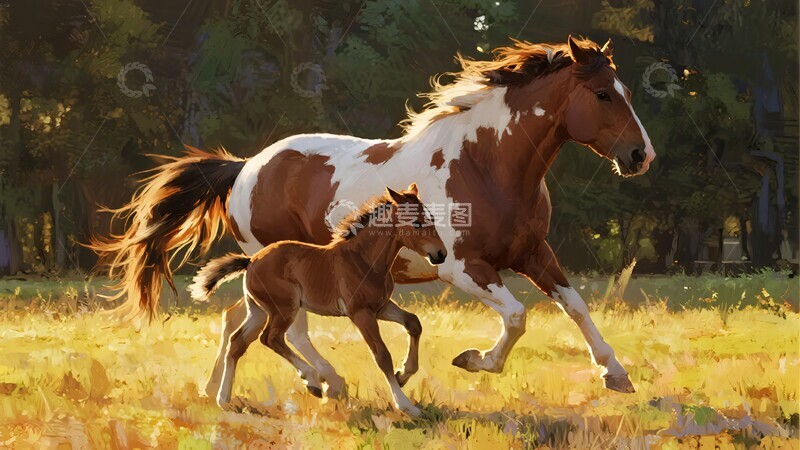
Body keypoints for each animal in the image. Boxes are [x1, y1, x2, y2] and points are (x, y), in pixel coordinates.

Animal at [188, 184, 445, 416]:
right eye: (417, 223)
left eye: (431, 217)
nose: (440, 254)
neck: (363, 259)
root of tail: (251, 261)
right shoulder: (361, 313)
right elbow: (382, 355)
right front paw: (406, 405)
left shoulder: (381, 307)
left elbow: (413, 322)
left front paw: (403, 375)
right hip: (284, 308)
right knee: (271, 338)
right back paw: (312, 381)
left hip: (259, 311)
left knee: (238, 342)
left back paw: (223, 399)